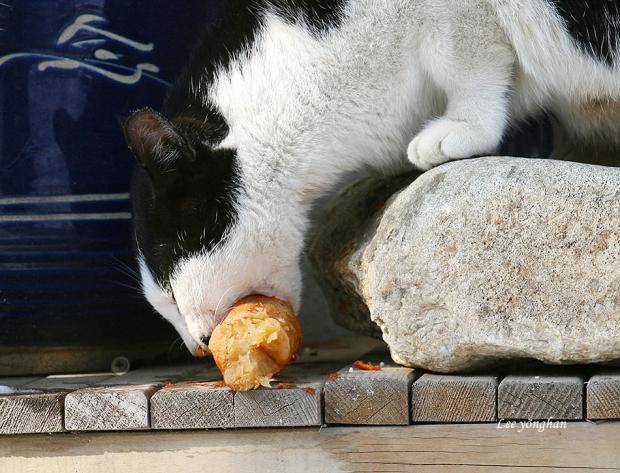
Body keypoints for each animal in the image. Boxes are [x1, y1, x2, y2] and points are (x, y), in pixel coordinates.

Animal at [122, 0, 620, 354]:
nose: (197, 347)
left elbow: (465, 57)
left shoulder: (457, 17)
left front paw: (464, 127)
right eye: (164, 302)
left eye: (171, 285)